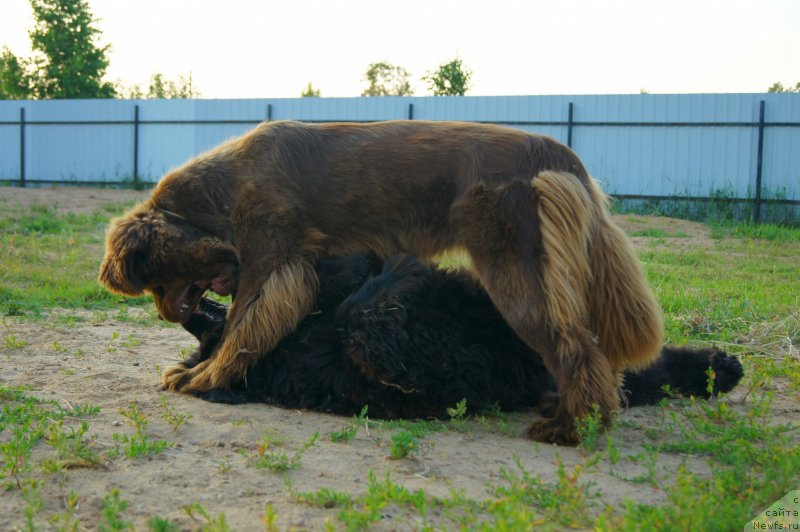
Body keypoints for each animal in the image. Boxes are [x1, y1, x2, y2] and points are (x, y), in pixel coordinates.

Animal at [100, 120, 664, 444]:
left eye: (155, 285)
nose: (166, 314)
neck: (222, 188)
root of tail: (557, 155)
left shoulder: (271, 265)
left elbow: (239, 331)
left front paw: (203, 378)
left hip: (516, 274)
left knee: (576, 348)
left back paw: (570, 428)